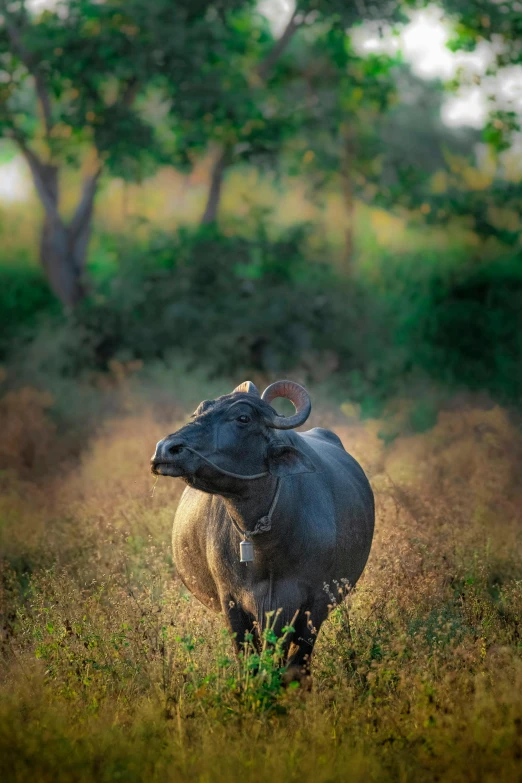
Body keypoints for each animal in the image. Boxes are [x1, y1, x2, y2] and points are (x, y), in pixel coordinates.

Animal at [151, 380, 374, 680]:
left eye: (243, 418)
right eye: (199, 411)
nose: (166, 449)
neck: (265, 548)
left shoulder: (314, 604)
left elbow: (295, 666)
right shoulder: (232, 602)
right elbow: (251, 663)